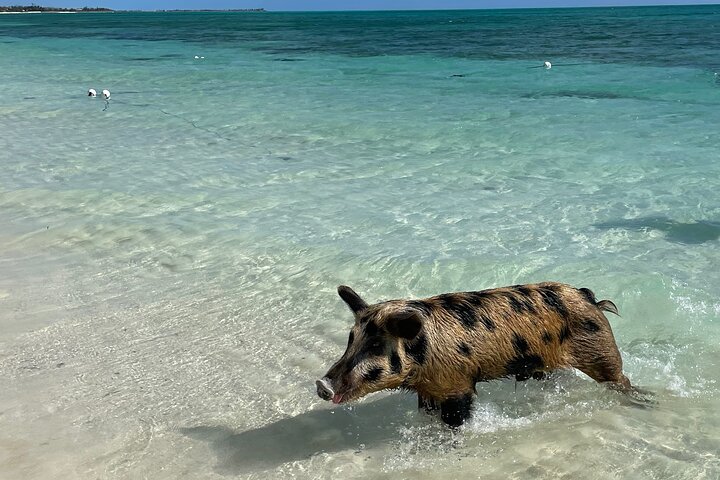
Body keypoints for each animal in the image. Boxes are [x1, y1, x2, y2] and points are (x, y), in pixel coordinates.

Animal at [316, 282, 634, 427]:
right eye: (350, 340)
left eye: (374, 346)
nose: (322, 384)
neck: (423, 357)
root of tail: (586, 295)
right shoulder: (429, 390)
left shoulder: (457, 385)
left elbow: (457, 417)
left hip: (601, 349)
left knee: (621, 378)